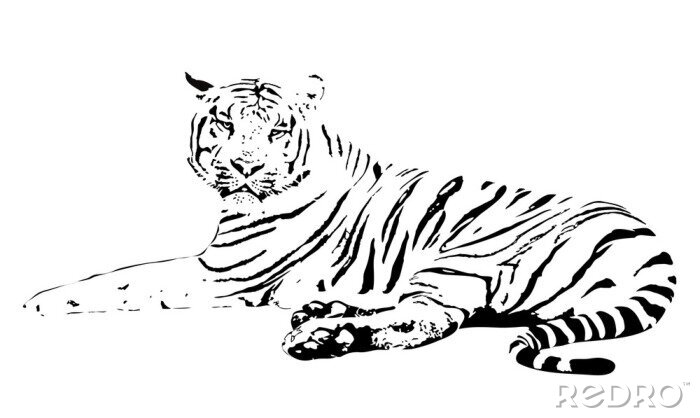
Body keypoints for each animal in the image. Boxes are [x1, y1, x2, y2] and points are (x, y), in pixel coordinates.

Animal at [24, 73, 677, 375]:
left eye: (275, 130)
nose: (245, 166)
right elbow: (126, 275)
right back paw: (320, 314)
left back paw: (324, 338)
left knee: (429, 322)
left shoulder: (222, 275)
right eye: (224, 124)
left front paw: (41, 301)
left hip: (460, 257)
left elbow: (129, 279)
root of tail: (653, 247)